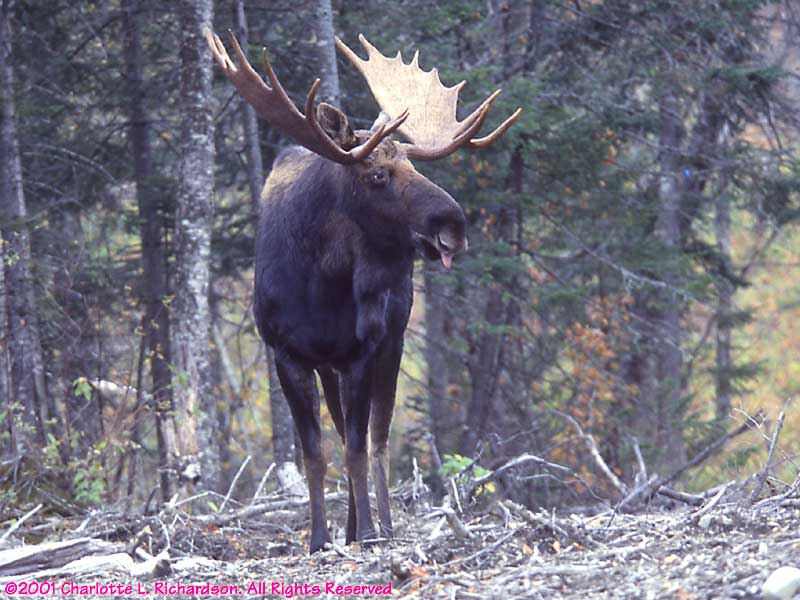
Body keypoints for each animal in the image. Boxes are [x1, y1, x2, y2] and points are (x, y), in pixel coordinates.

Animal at [206, 30, 520, 553]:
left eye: (414, 165)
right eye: (377, 174)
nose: (454, 224)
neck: (319, 286)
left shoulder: (360, 351)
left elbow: (356, 448)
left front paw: (371, 533)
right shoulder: (287, 354)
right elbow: (315, 453)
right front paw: (318, 537)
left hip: (391, 342)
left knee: (379, 440)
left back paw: (380, 527)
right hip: (331, 364)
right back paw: (351, 527)